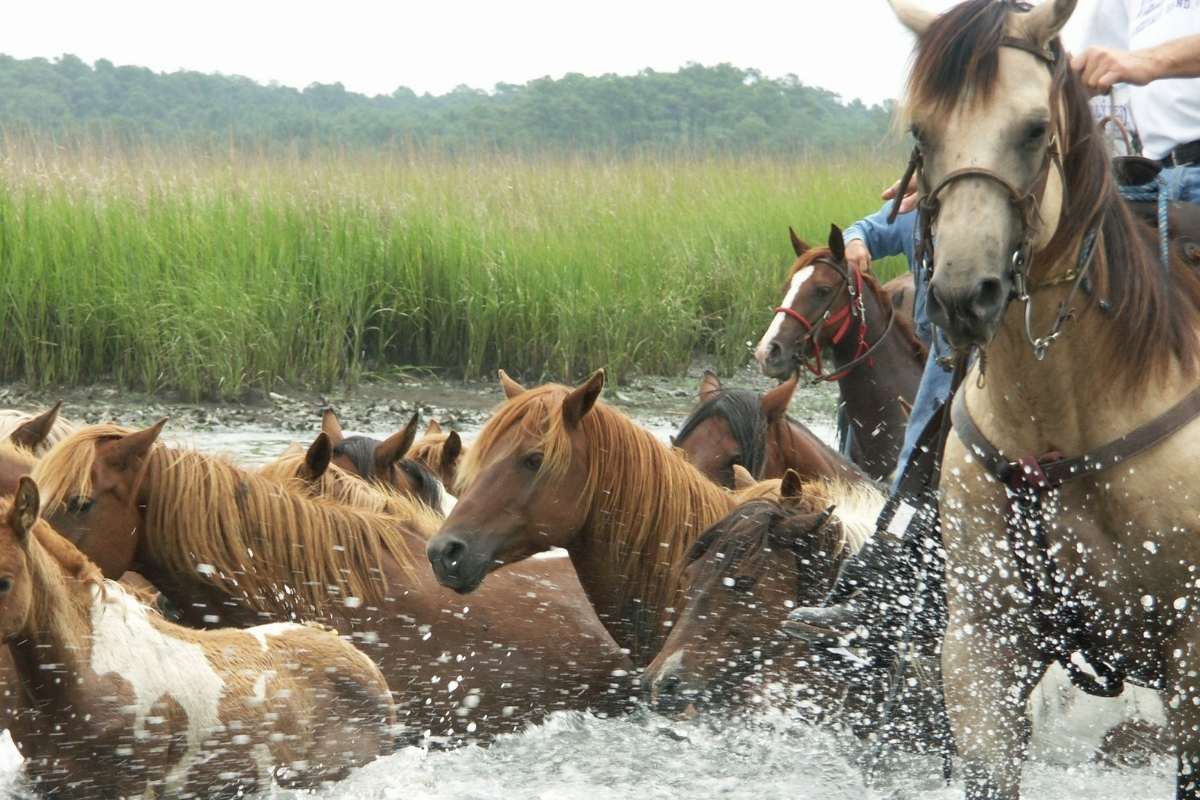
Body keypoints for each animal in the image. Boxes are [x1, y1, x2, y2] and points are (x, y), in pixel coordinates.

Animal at [892, 1, 1200, 796]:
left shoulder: (1193, 647)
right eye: (920, 133)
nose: (964, 295)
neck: (1063, 421)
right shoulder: (983, 643)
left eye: (1034, 129)